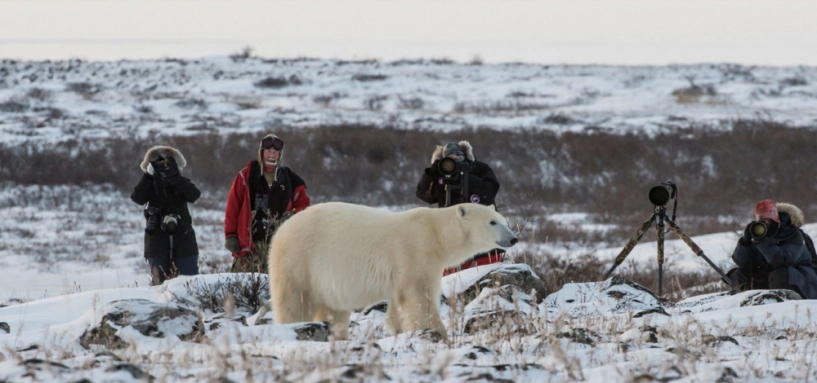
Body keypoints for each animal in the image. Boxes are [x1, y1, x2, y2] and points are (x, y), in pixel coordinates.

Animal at [268, 202, 516, 340]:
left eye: (504, 220)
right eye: (492, 222)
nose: (513, 238)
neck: (436, 233)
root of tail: (280, 231)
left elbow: (398, 304)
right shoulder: (415, 253)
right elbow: (419, 299)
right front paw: (438, 334)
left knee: (334, 310)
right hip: (299, 261)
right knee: (294, 302)